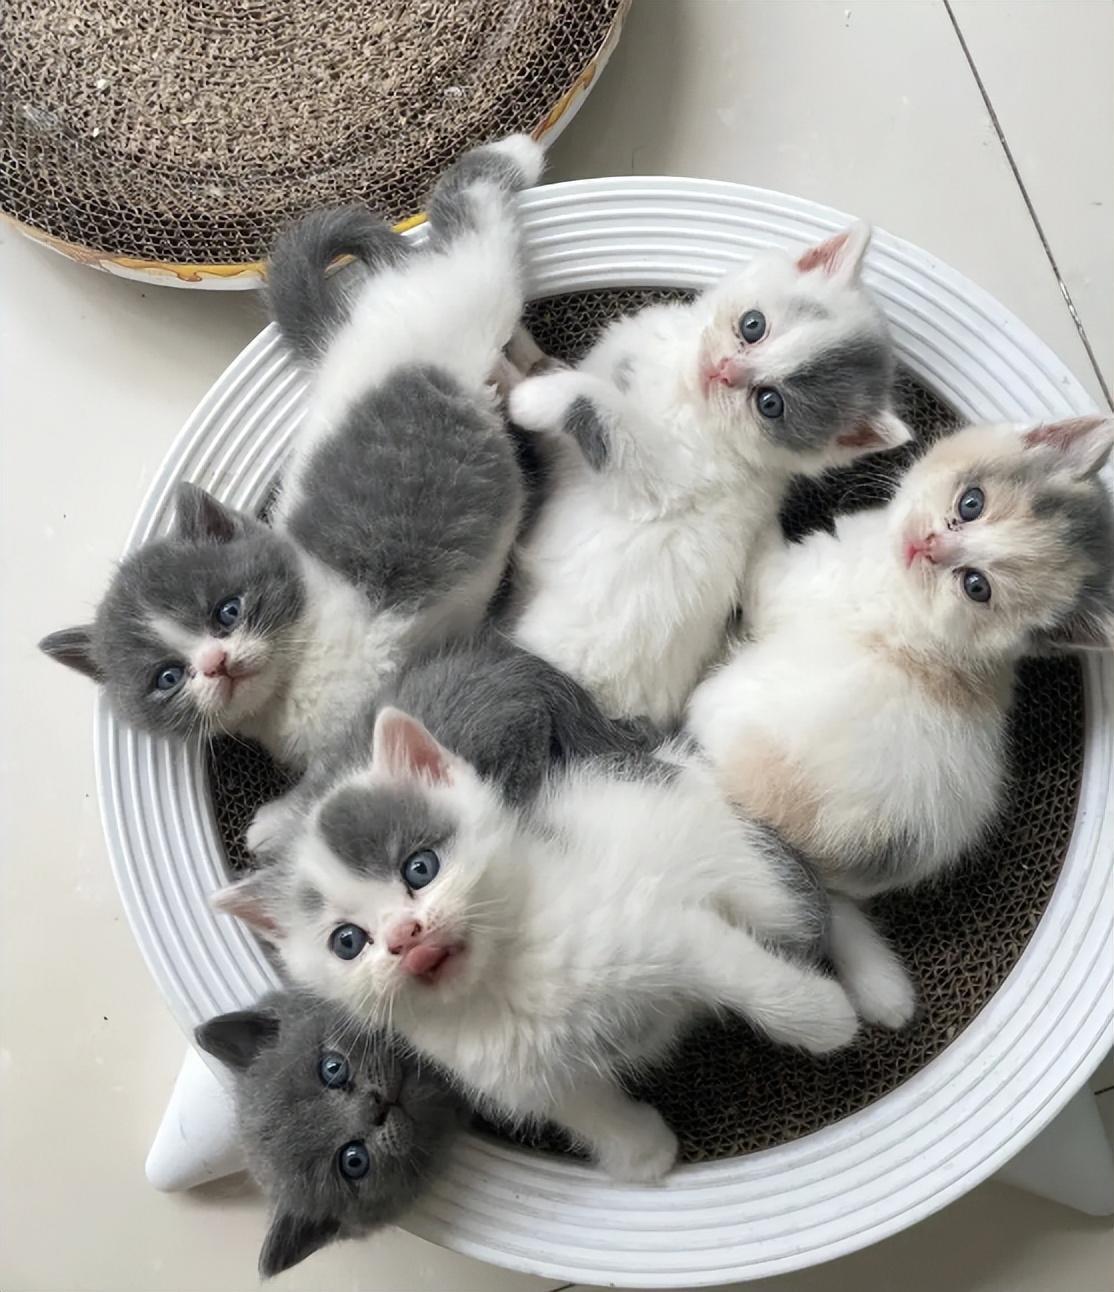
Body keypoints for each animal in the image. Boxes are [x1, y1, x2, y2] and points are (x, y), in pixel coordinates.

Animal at [38, 134, 543, 768]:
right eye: (168, 677)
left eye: (227, 611)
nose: (216, 663)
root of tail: (353, 322)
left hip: (470, 290)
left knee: (472, 215)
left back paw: (515, 154)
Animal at [212, 705, 860, 1184]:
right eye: (348, 942)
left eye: (420, 868)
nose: (404, 936)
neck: (504, 976)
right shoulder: (519, 1076)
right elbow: (581, 1105)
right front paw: (640, 1151)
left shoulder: (667, 929)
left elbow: (746, 975)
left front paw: (825, 1020)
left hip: (758, 880)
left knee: (809, 911)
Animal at [506, 222, 913, 725]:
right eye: (753, 326)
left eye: (770, 403)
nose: (724, 370)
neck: (679, 383)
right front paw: (513, 353)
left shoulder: (662, 475)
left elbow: (599, 407)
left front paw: (530, 397)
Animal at [687, 414, 1114, 1025]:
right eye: (970, 503)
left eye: (976, 586)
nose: (928, 546)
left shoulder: (791, 583)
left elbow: (761, 550)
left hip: (723, 706)